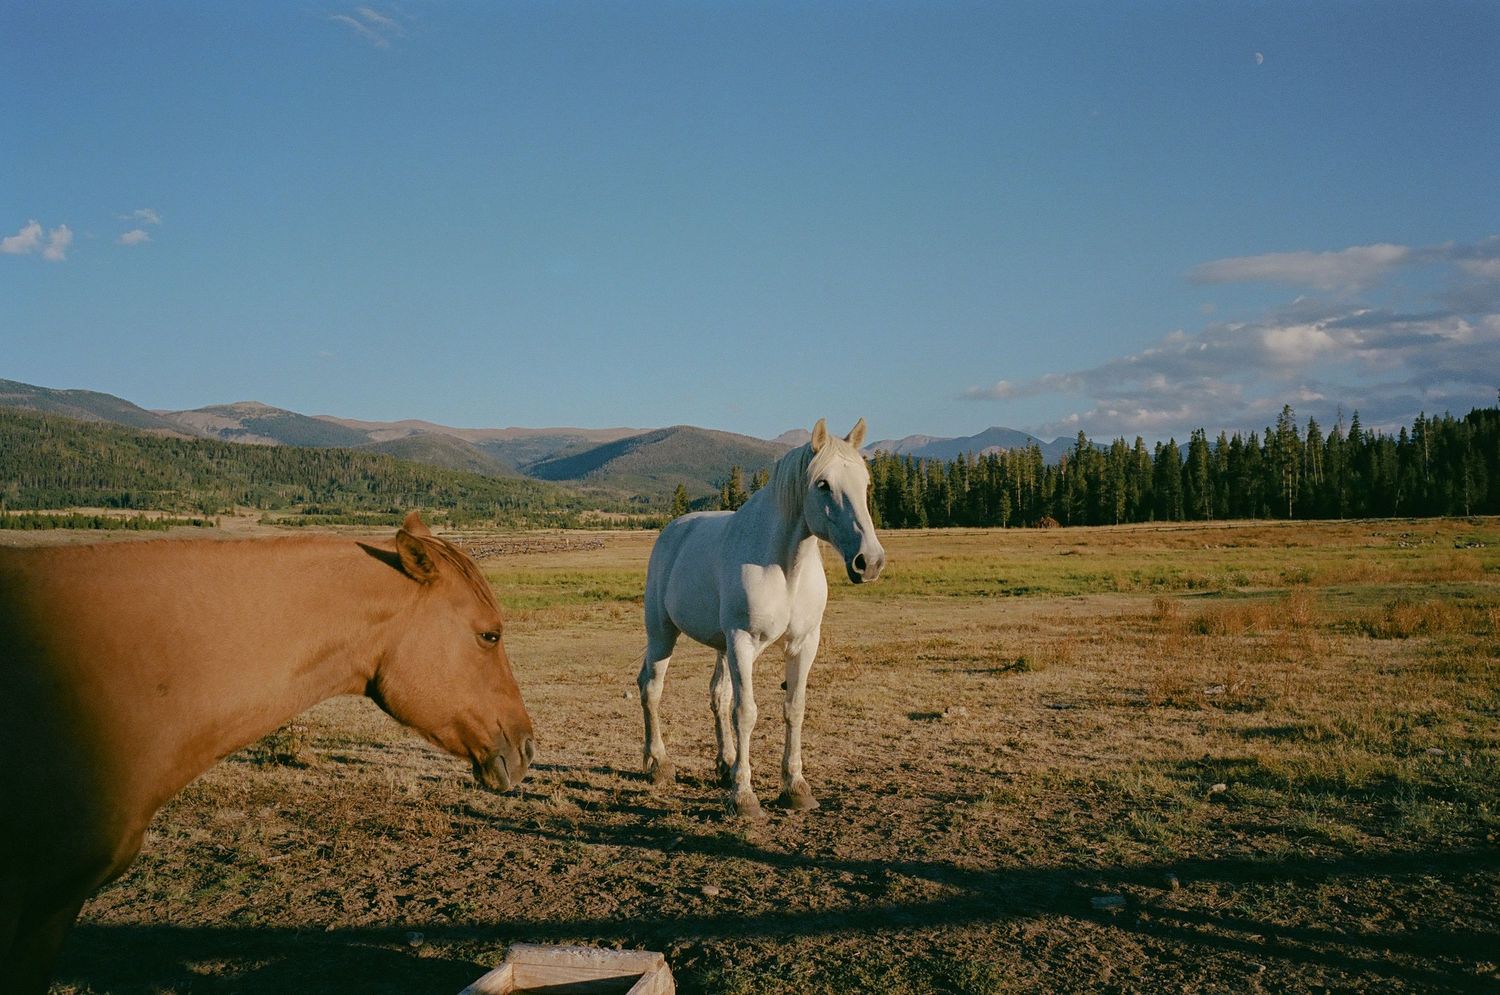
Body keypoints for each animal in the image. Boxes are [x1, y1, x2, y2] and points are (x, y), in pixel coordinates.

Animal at [637, 418, 886, 819]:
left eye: (865, 484)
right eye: (823, 484)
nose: (870, 562)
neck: (785, 568)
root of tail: (672, 531)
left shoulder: (803, 643)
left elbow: (794, 708)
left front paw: (795, 787)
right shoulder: (742, 640)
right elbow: (747, 712)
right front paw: (744, 796)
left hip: (720, 646)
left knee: (718, 695)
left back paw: (724, 764)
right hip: (662, 633)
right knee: (651, 688)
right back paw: (659, 764)